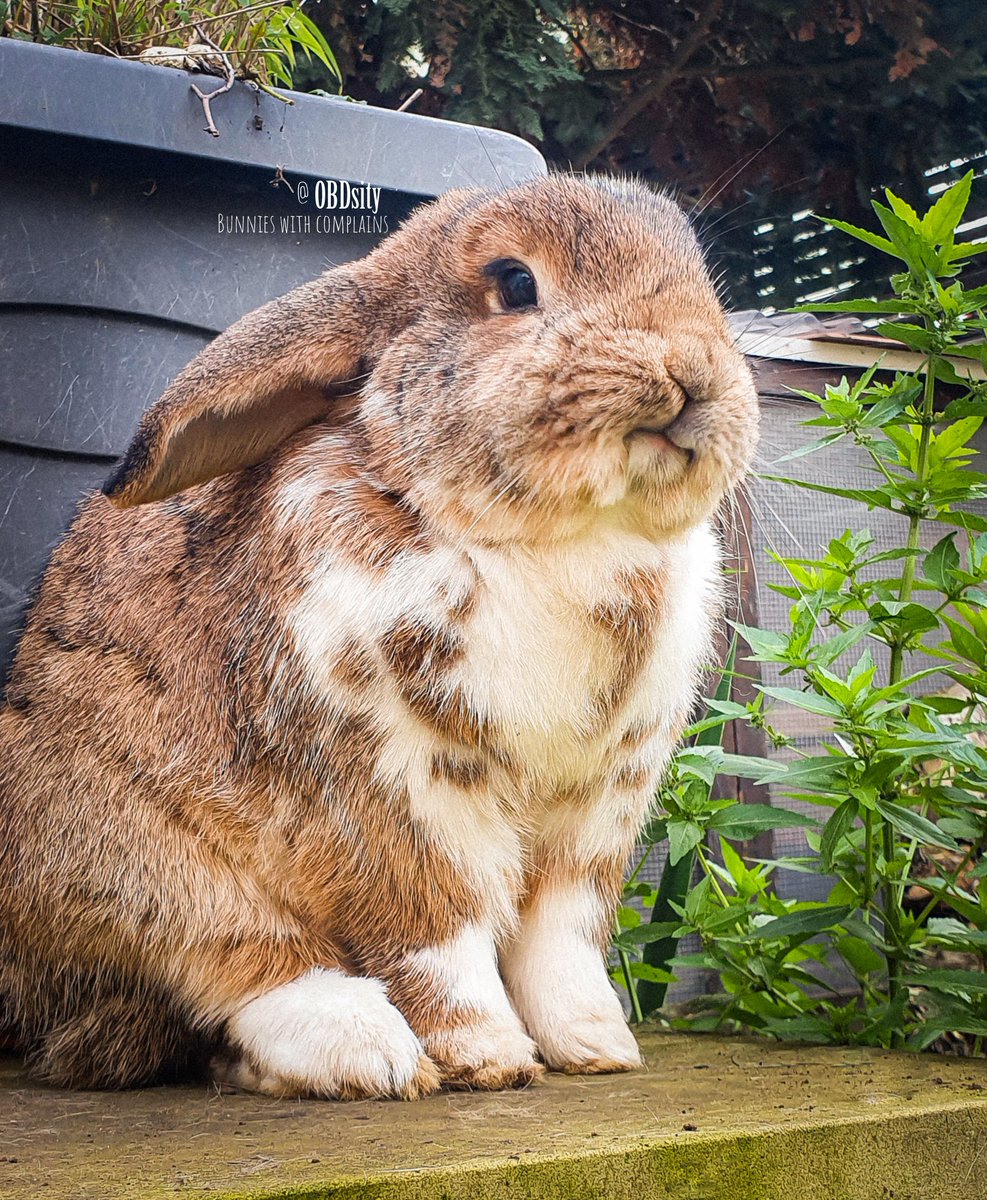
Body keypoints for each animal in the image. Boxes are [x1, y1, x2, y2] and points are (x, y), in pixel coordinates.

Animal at [0, 171, 763, 1099]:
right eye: (515, 283)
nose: (691, 367)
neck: (566, 541)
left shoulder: (594, 819)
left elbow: (561, 942)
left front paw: (595, 1046)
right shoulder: (401, 790)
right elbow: (441, 935)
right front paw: (488, 1057)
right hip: (123, 856)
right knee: (232, 959)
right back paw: (370, 1053)